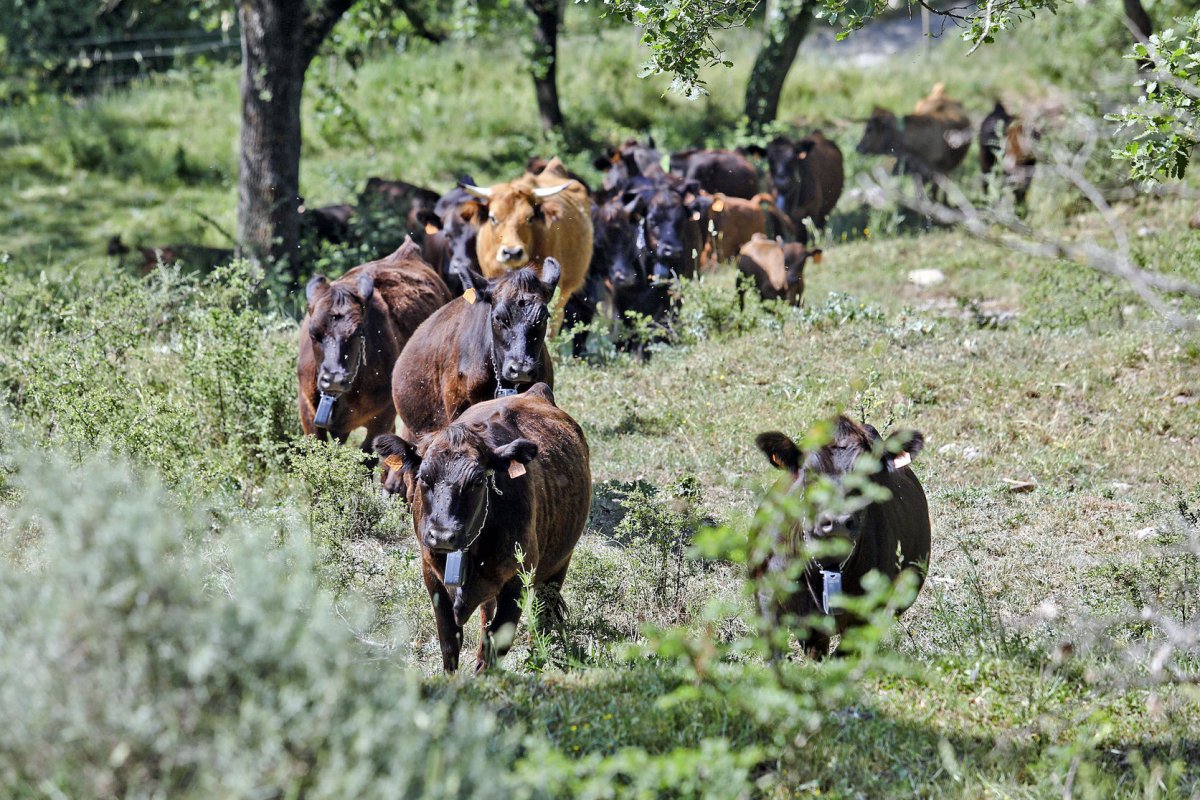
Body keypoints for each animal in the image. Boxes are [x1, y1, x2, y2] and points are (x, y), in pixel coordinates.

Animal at [369, 383, 585, 671]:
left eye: (478, 480)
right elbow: (449, 642)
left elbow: (493, 651)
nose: (443, 535)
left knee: (543, 617)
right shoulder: (431, 576)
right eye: (423, 477)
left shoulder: (517, 580)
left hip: (559, 565)